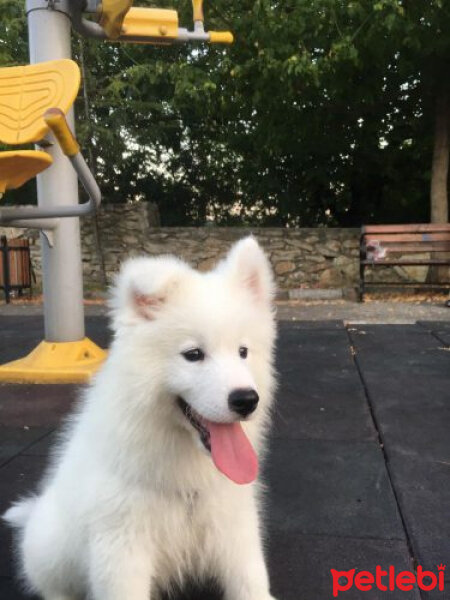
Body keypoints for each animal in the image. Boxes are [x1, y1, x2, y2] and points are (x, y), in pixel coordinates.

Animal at [2, 236, 278, 600]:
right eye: (193, 355)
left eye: (243, 352)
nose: (246, 400)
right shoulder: (121, 546)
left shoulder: (234, 525)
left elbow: (251, 579)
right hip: (51, 552)